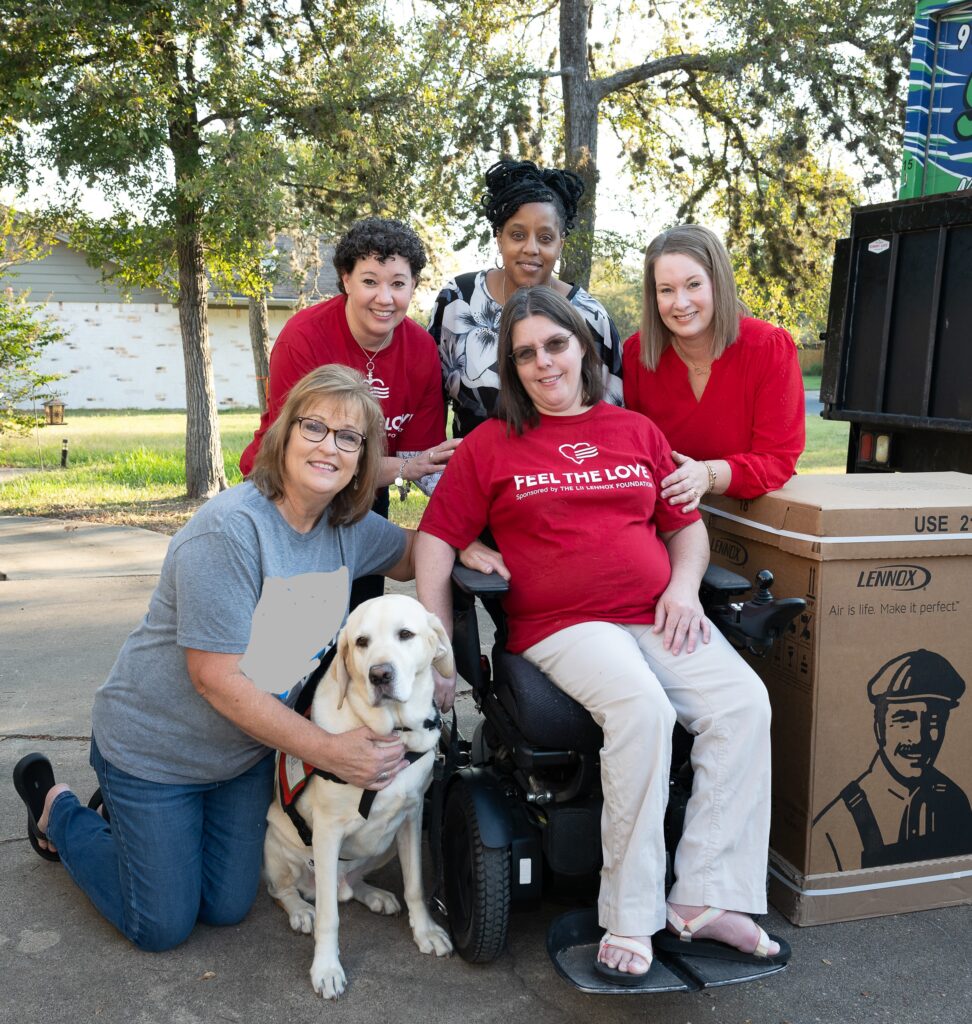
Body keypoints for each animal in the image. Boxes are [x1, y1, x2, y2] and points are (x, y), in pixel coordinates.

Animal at [260, 593, 452, 999]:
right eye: (362, 642)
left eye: (405, 634)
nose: (379, 675)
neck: (394, 731)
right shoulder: (327, 832)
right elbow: (329, 919)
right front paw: (326, 969)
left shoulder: (412, 816)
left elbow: (415, 885)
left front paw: (425, 932)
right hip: (277, 846)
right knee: (284, 891)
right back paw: (301, 910)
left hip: (383, 847)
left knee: (351, 885)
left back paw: (374, 895)